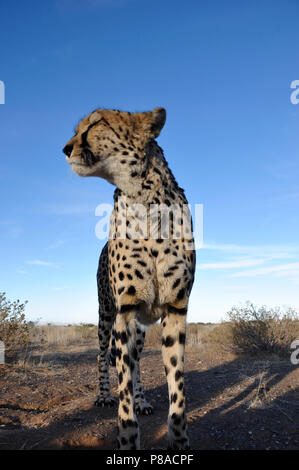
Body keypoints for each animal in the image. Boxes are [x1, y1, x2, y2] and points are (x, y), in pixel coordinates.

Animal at [63, 107, 197, 452]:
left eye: (96, 124)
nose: (66, 148)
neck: (145, 200)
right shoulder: (124, 311)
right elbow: (122, 385)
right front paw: (127, 436)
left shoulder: (176, 309)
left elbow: (176, 382)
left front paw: (179, 438)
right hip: (106, 315)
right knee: (103, 357)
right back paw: (103, 395)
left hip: (140, 326)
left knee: (135, 364)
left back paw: (142, 400)